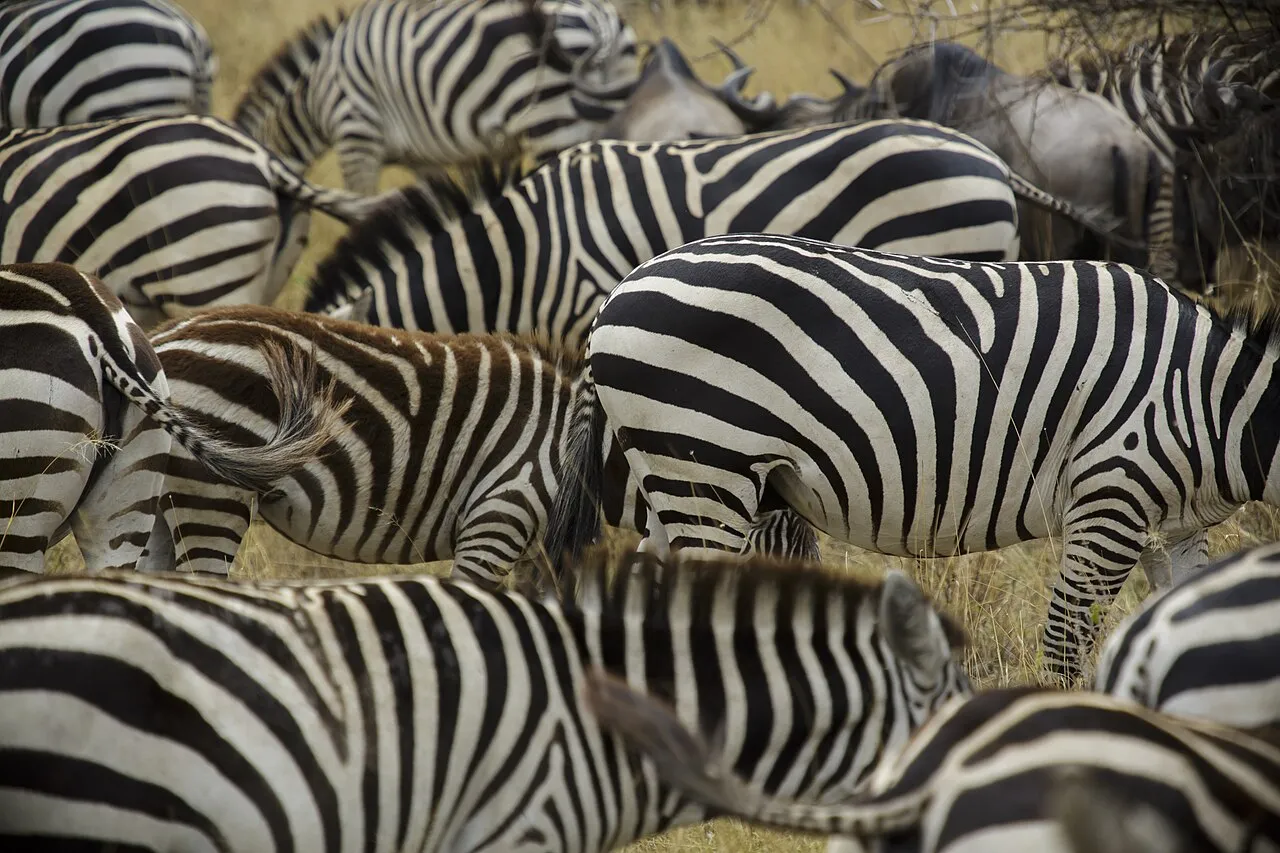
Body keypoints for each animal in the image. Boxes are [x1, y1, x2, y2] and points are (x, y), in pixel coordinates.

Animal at [147, 305, 817, 582]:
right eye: (785, 539)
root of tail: (163, 336)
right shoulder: (498, 516)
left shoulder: (535, 547)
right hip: (213, 494)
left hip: (170, 496)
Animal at [231, 0, 640, 195]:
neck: (317, 95)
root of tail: (600, 20)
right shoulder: (424, 160)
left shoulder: (356, 136)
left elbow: (362, 206)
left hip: (548, 120)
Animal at [544, 232, 1280, 683]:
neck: (1214, 400)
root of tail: (617, 294)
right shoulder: (1112, 496)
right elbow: (1067, 639)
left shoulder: (1174, 526)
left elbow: (1189, 628)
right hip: (707, 467)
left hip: (675, 477)